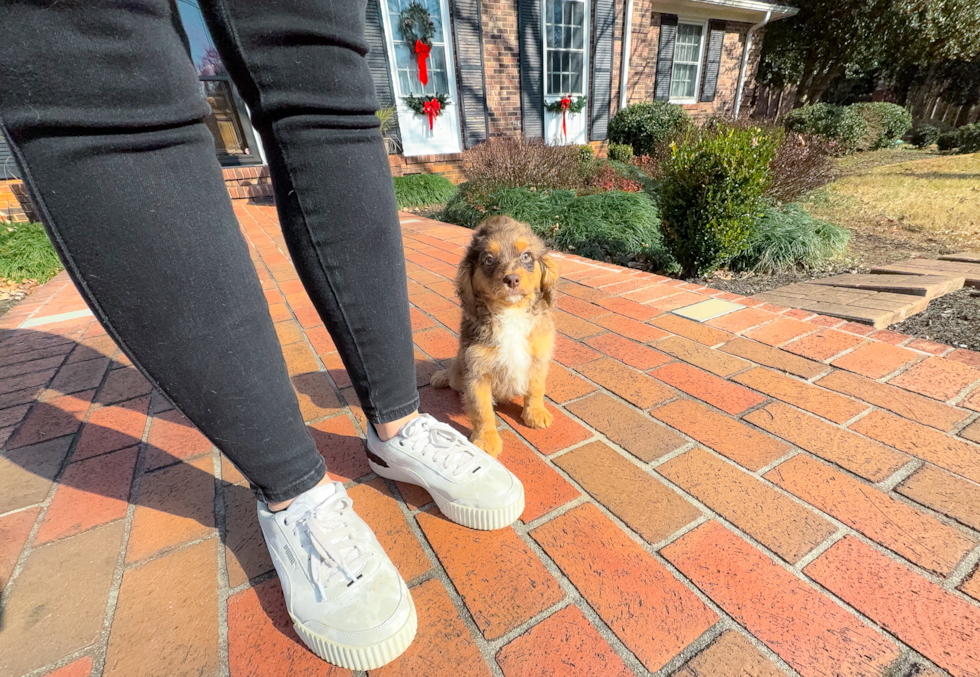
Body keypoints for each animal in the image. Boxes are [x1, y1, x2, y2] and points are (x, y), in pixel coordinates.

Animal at [430, 217, 560, 456]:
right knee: (454, 373)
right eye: (489, 260)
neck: (511, 313)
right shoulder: (476, 370)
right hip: (460, 373)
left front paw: (535, 413)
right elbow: (481, 410)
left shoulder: (538, 356)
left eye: (526, 256)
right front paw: (486, 440)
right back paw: (442, 376)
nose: (512, 279)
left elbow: (537, 388)